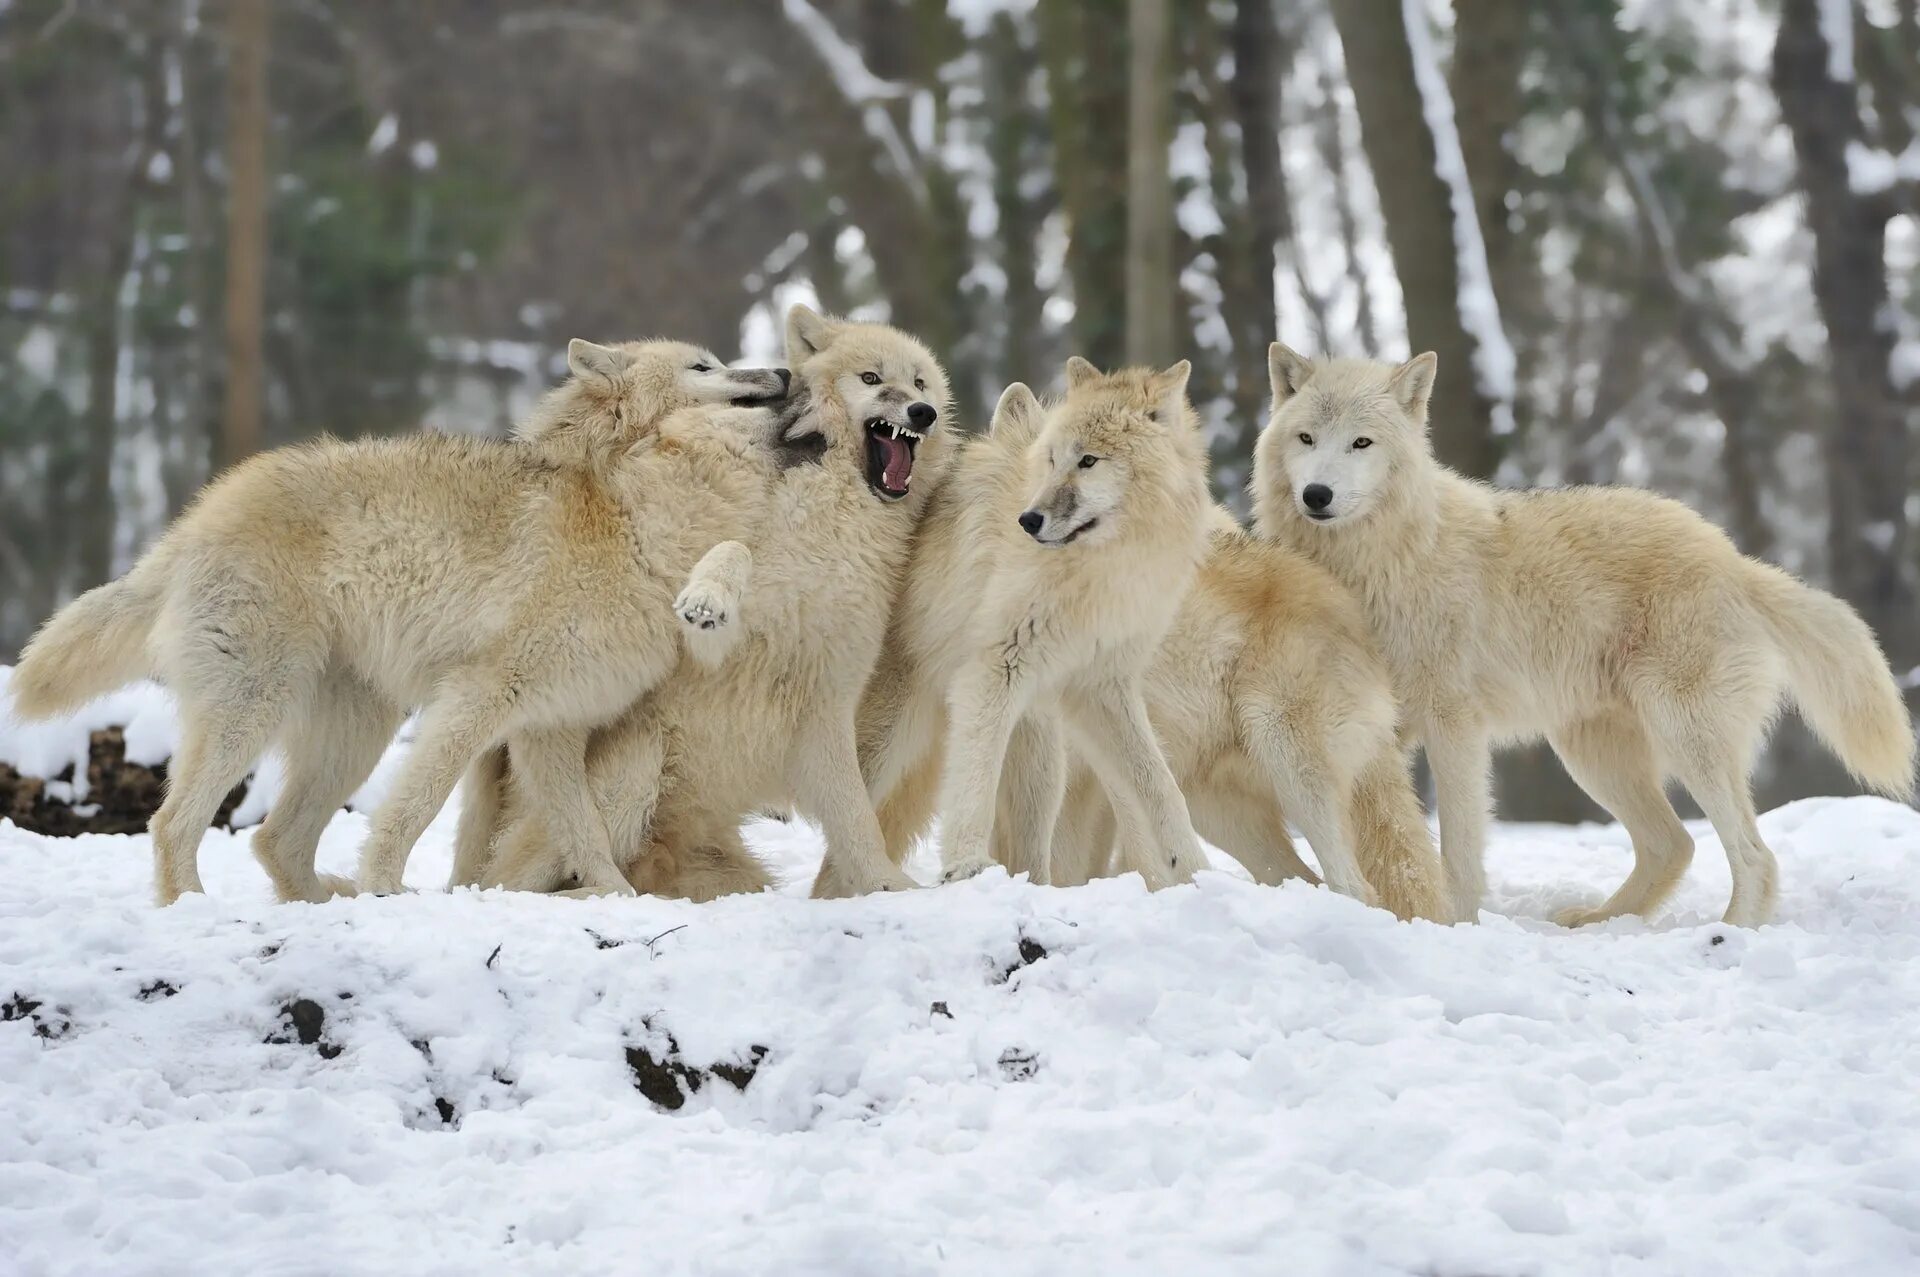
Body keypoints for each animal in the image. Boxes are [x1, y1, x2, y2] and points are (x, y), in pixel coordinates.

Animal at [9, 334, 787, 902]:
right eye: (705, 365)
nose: (782, 370)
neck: (626, 522)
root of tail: (190, 522)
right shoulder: (478, 698)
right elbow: (417, 807)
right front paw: (387, 886)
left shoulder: (550, 729)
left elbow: (587, 833)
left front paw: (619, 900)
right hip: (255, 710)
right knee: (173, 824)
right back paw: (200, 912)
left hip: (354, 733)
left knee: (274, 839)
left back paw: (325, 904)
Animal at [1251, 345, 1912, 925]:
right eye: (1306, 439)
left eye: (1361, 443)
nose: (1317, 495)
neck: (1376, 564)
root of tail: (1734, 559)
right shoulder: (1372, 731)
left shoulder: (1452, 726)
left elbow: (1458, 850)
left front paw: (1455, 924)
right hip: (1592, 756)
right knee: (1674, 844)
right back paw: (1600, 922)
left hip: (1683, 739)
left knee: (1754, 856)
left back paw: (1730, 934)